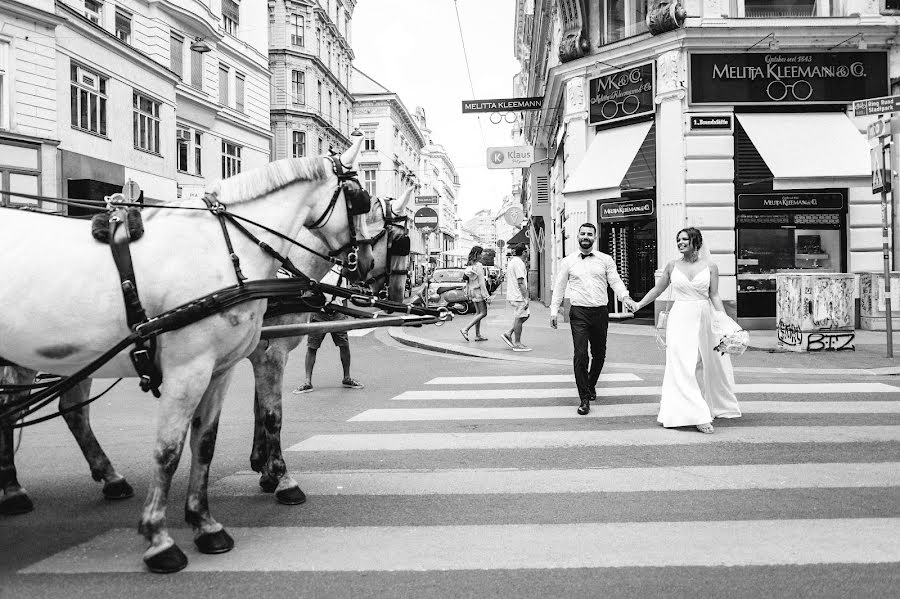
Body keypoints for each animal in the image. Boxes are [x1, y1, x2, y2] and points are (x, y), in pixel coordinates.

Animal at [0, 138, 372, 576]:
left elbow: (206, 442)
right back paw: (15, 489)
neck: (230, 251)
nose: (366, 264)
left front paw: (206, 522)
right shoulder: (196, 368)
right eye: (362, 200)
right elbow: (173, 448)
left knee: (68, 411)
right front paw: (160, 538)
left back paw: (102, 479)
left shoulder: (222, 368)